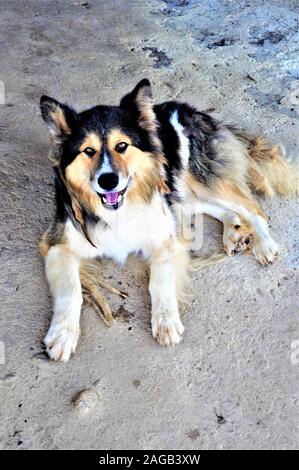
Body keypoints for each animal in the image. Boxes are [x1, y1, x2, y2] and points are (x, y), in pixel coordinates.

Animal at [39, 79, 299, 362]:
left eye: (122, 146)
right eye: (88, 150)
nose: (108, 181)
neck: (118, 209)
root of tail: (192, 111)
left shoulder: (165, 236)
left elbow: (159, 280)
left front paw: (166, 321)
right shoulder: (58, 245)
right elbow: (71, 290)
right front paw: (62, 335)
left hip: (198, 179)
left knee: (252, 207)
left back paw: (264, 244)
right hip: (180, 193)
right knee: (220, 209)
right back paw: (233, 232)